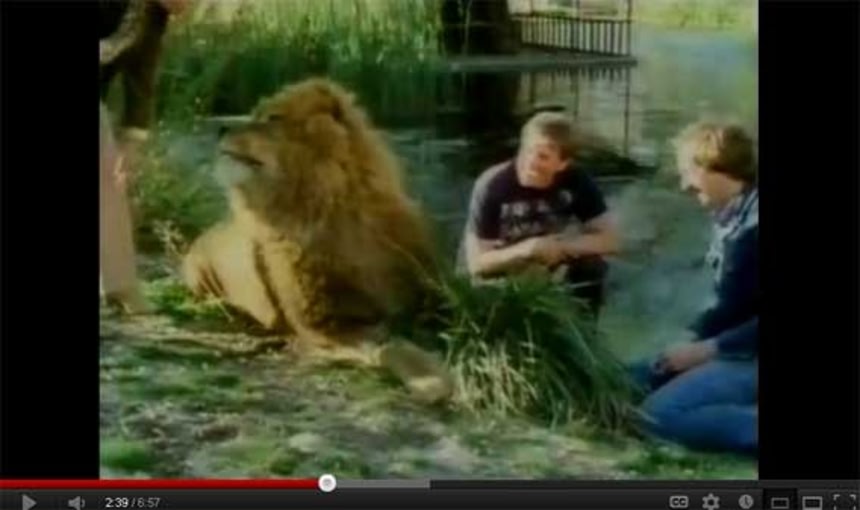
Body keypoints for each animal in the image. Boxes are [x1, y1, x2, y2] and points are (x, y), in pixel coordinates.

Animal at [181, 78, 452, 403]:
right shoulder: (323, 327)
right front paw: (431, 381)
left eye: (273, 118)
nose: (220, 129)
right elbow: (390, 346)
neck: (328, 211)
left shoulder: (428, 299)